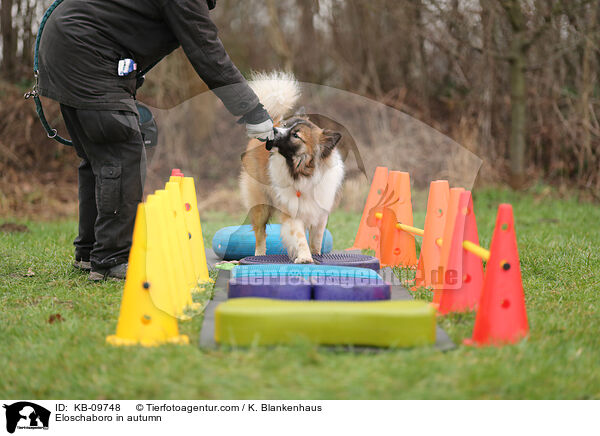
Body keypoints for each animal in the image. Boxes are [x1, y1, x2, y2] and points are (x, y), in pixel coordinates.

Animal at [238, 72, 342, 262]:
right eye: (285, 126)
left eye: (296, 135)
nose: (274, 131)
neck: (302, 173)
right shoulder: (292, 212)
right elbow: (300, 237)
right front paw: (305, 257)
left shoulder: (320, 214)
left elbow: (316, 238)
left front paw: (315, 254)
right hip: (260, 205)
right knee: (260, 233)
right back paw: (259, 255)